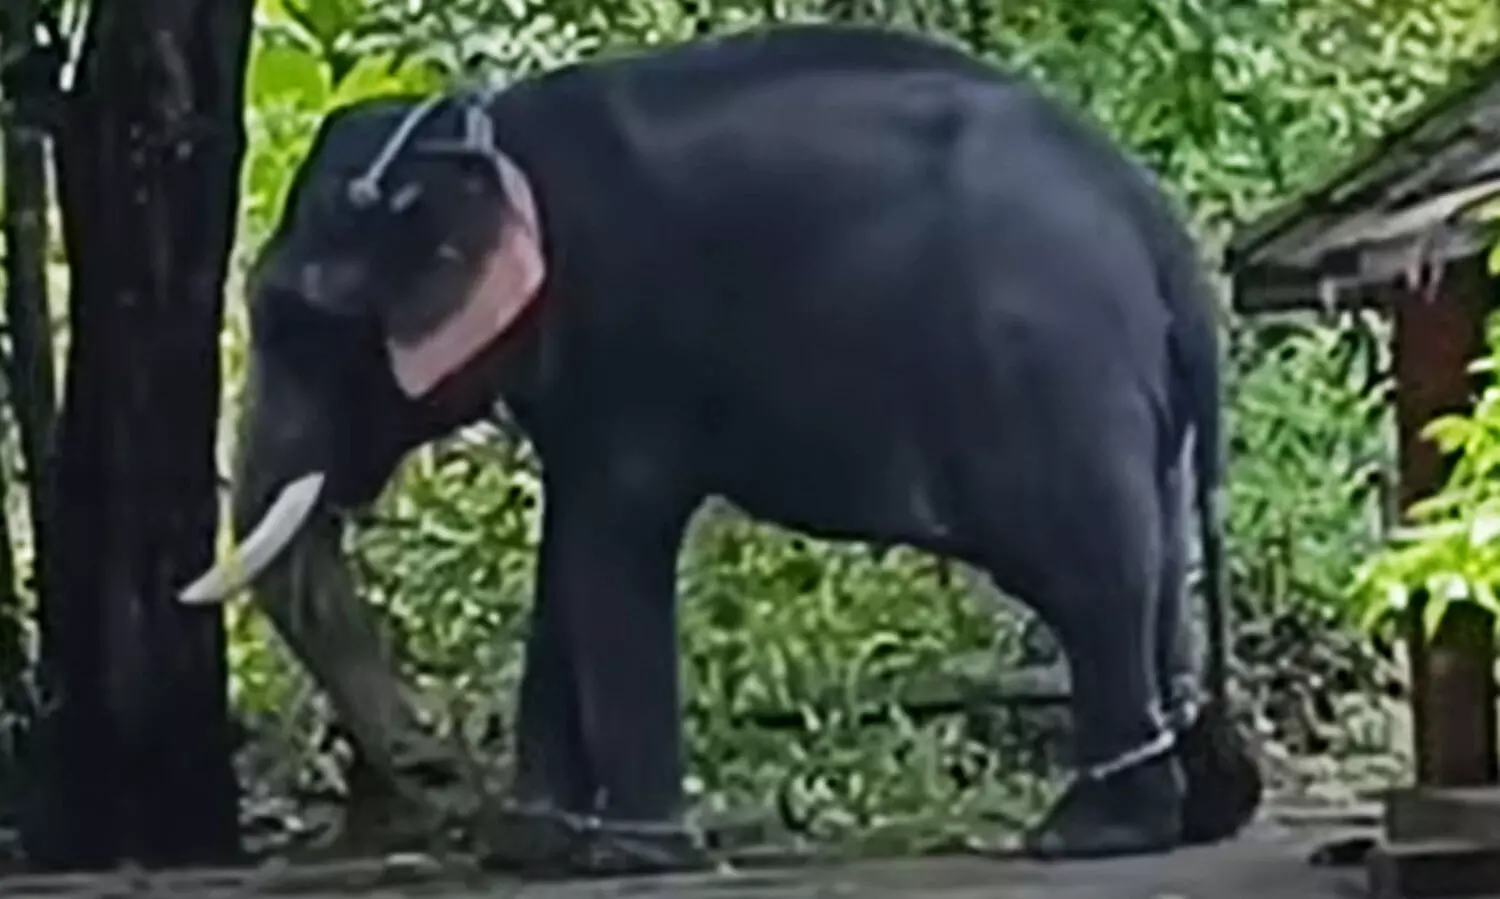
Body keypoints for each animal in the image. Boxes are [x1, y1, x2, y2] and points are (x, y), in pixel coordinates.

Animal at [179, 22, 1261, 872]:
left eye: (298, 322)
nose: (434, 765)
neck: (485, 132)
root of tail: (1162, 232)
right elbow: (570, 549)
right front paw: (532, 847)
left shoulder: (626, 330)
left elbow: (613, 538)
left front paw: (633, 853)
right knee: (1157, 568)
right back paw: (1174, 812)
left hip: (1049, 368)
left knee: (1088, 572)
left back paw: (1089, 834)